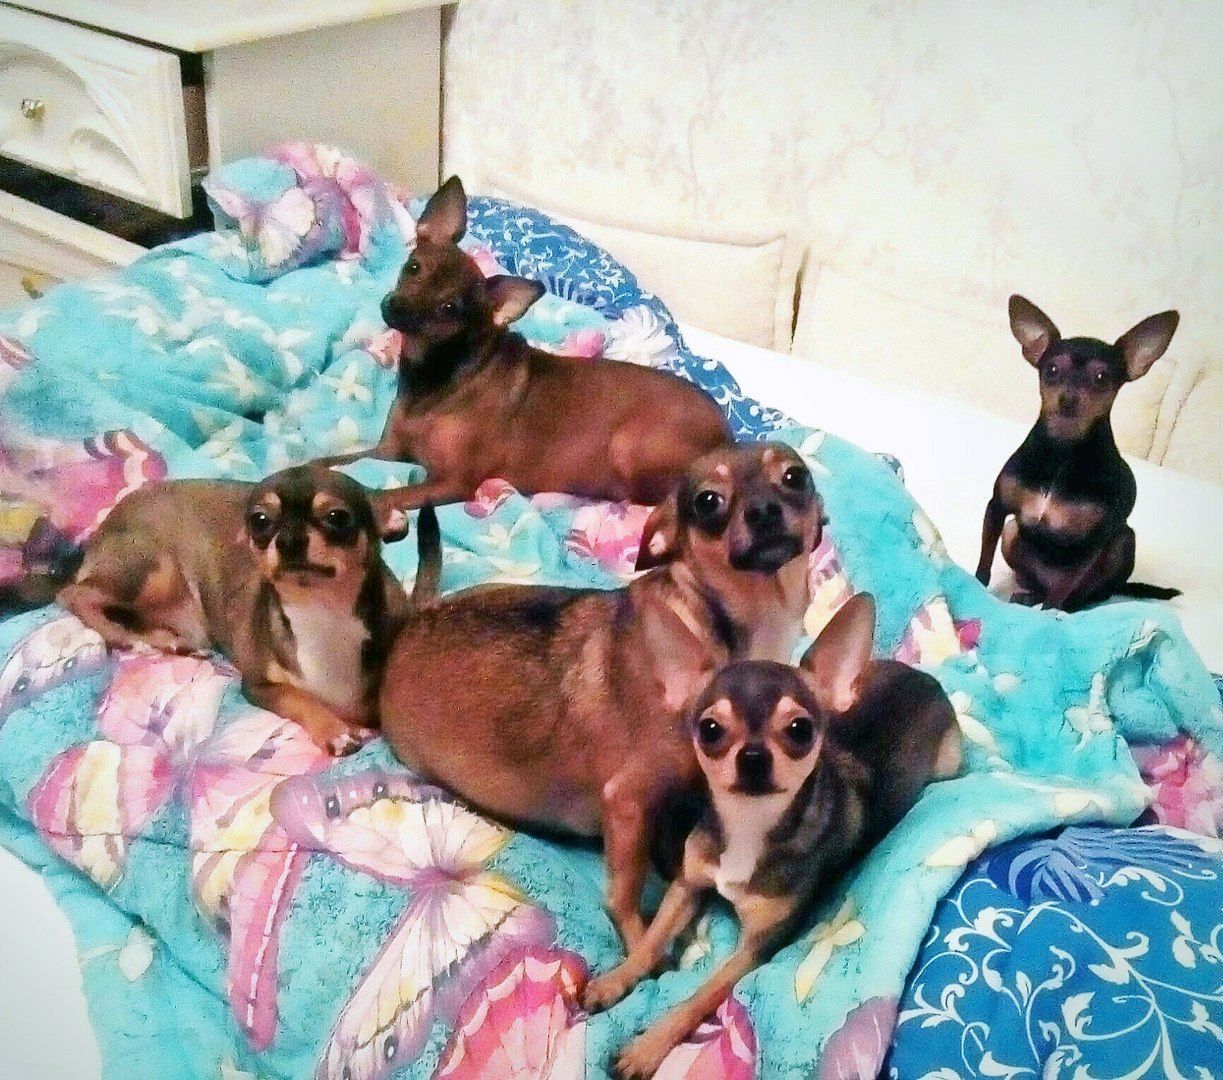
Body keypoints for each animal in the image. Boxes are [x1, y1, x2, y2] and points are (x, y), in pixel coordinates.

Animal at [44, 465, 421, 755]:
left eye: (337, 517)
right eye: (261, 521)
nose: (289, 540)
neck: (323, 615)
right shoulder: (258, 686)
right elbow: (298, 698)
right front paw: (334, 730)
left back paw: (169, 641)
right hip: (155, 571)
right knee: (72, 594)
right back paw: (126, 637)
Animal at [331, 175, 731, 512]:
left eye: (449, 309)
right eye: (413, 267)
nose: (395, 307)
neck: (436, 374)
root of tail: (727, 435)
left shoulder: (452, 482)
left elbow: (380, 495)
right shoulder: (387, 451)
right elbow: (334, 462)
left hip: (628, 446)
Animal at [379, 442, 824, 947]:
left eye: (794, 477)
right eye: (708, 502)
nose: (765, 509)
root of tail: (413, 621)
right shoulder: (627, 800)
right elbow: (625, 900)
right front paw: (642, 951)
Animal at [582, 593, 961, 1078]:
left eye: (799, 729)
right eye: (709, 729)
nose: (753, 756)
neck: (749, 826)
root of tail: (925, 677)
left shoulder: (755, 947)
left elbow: (698, 996)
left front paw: (646, 1047)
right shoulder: (687, 885)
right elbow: (650, 942)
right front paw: (613, 981)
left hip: (950, 763)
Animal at [976, 295, 1181, 611]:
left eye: (1101, 377)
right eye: (1051, 371)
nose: (1068, 399)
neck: (1062, 450)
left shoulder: (1088, 546)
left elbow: (1058, 597)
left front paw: (1047, 618)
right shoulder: (997, 508)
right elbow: (984, 562)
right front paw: (975, 585)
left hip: (1122, 544)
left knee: (1078, 597)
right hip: (1011, 532)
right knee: (1037, 585)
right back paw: (1028, 595)